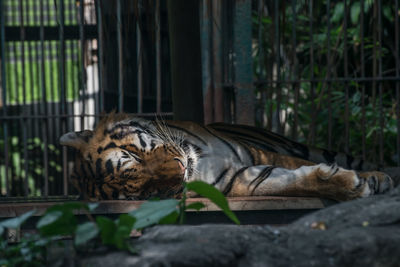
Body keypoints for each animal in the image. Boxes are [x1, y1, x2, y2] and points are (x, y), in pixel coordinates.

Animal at [60, 112, 394, 202]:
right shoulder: (238, 180)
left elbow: (299, 166)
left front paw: (375, 179)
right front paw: (353, 186)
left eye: (133, 154)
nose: (181, 169)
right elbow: (294, 182)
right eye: (146, 192)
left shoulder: (255, 152)